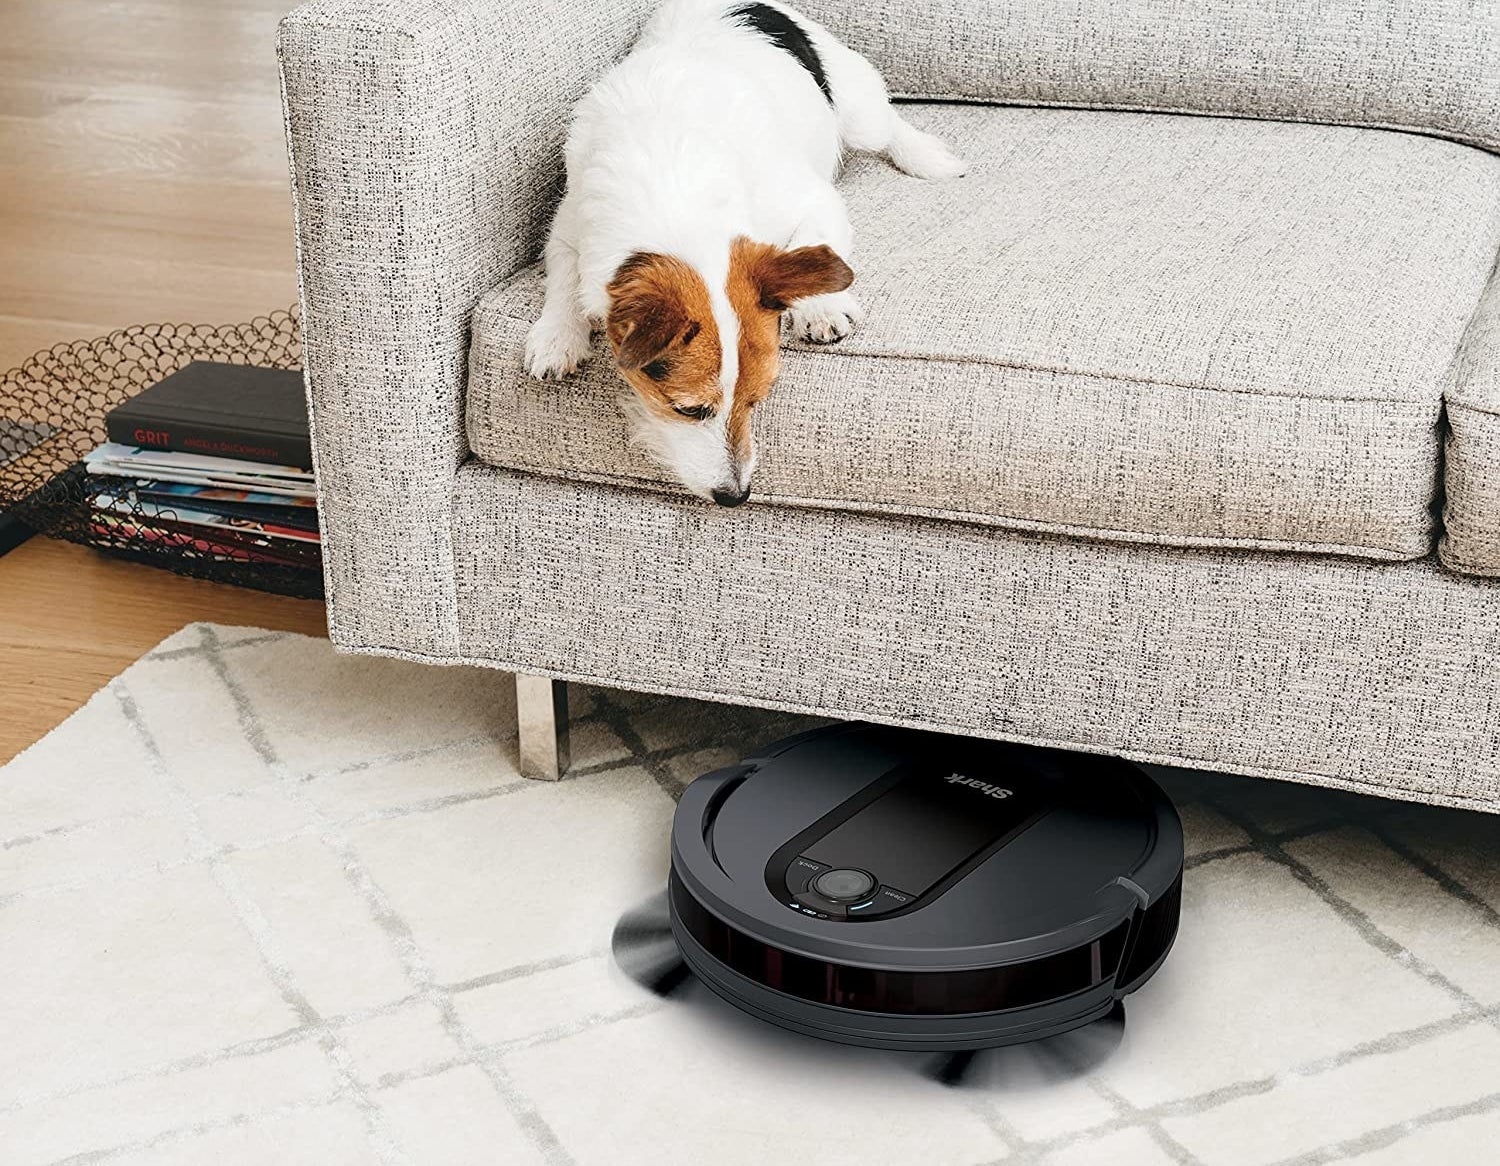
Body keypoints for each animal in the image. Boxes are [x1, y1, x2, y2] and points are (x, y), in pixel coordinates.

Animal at [528, 0, 966, 504]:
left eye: (756, 400)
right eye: (689, 409)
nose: (737, 496)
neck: (678, 187)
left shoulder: (811, 199)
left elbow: (815, 240)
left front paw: (821, 307)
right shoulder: (569, 223)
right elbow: (565, 276)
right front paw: (557, 337)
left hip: (858, 108)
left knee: (887, 122)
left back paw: (928, 156)